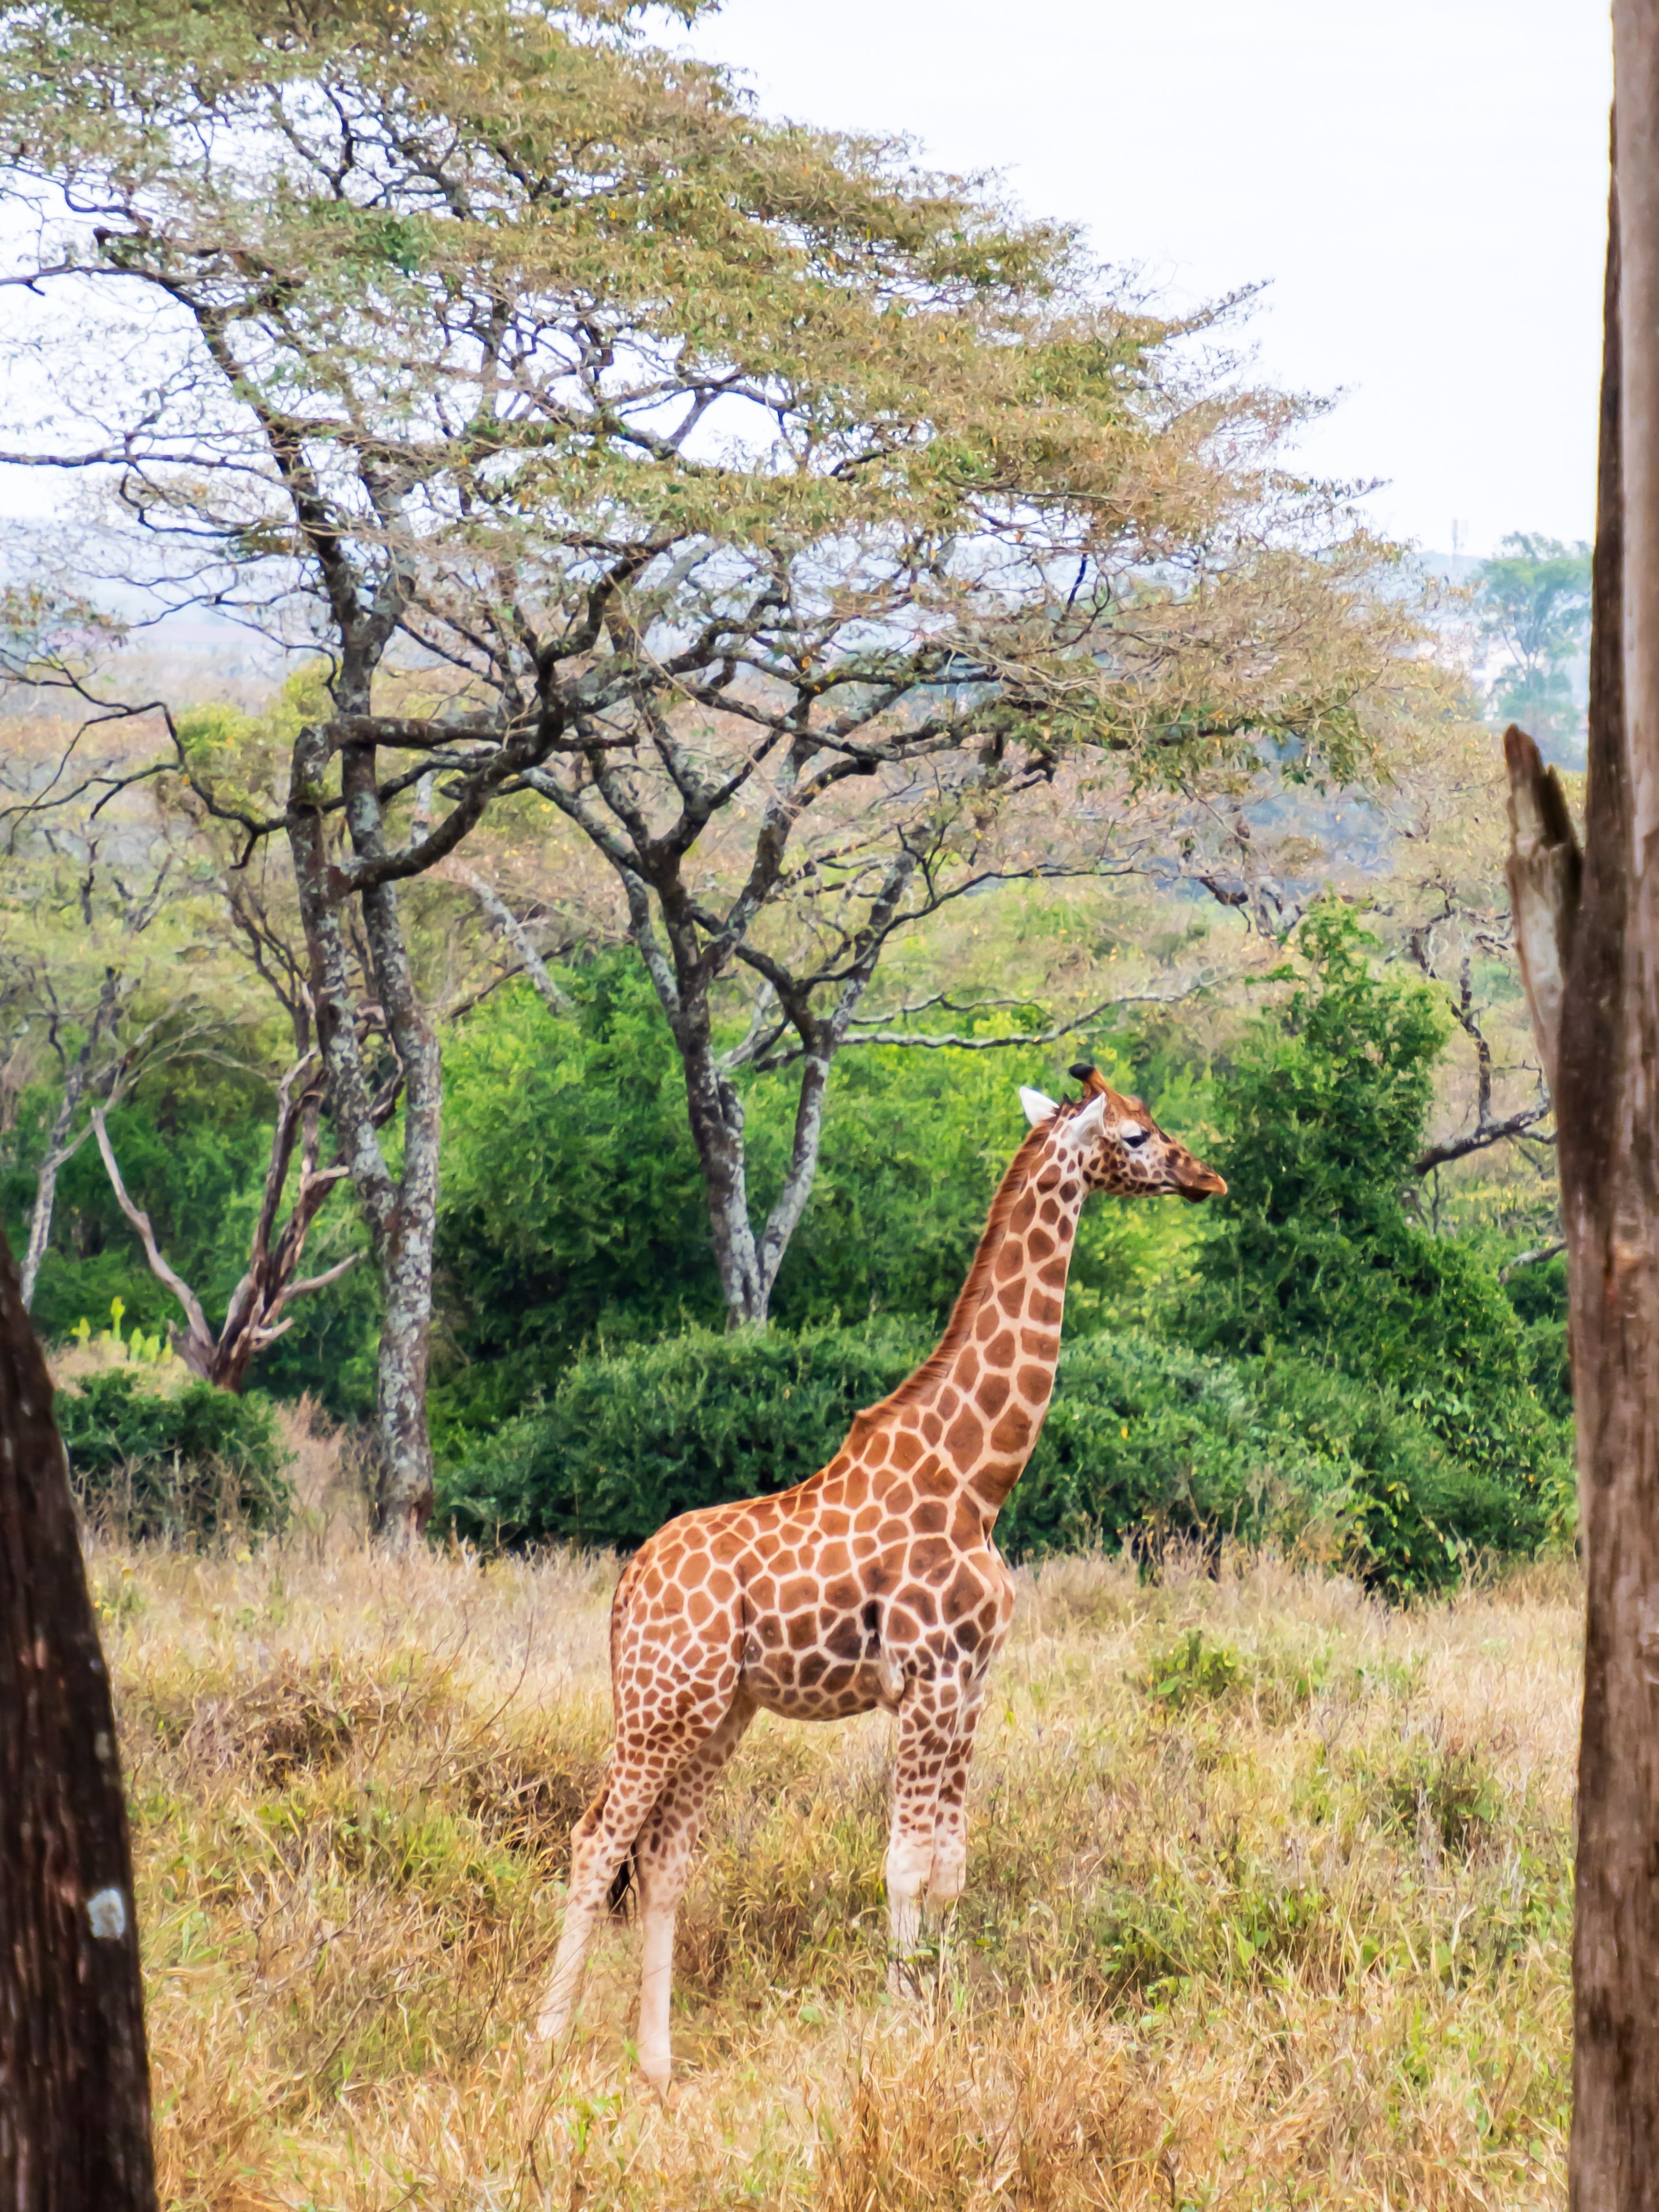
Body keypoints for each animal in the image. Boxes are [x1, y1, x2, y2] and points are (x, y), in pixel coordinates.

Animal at [537, 1062, 1226, 2090]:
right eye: (1136, 1134)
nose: (1204, 1177)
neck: (977, 1475)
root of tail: (624, 1588)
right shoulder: (929, 1677)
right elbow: (904, 1860)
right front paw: (903, 2029)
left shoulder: (972, 1680)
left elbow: (950, 1860)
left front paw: (943, 2017)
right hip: (660, 1705)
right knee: (595, 1838)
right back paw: (541, 2043)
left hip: (719, 1711)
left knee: (663, 1854)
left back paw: (657, 2064)